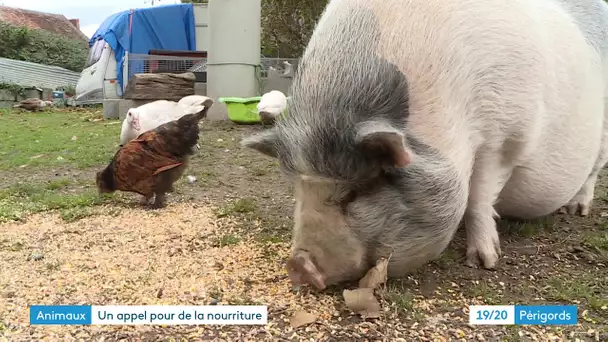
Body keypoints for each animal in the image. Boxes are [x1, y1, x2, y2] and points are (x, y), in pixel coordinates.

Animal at [240, 0, 608, 290]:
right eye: (297, 190)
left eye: (352, 194)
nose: (298, 266)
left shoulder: (506, 135)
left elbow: (479, 198)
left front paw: (485, 262)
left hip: (601, 138)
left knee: (592, 173)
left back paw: (576, 210)